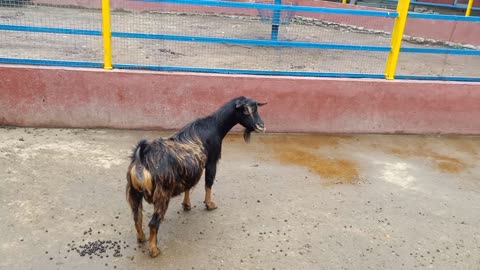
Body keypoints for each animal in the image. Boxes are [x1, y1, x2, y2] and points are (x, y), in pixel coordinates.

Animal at [126, 96, 266, 258]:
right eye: (246, 110)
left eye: (257, 108)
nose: (261, 126)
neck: (214, 126)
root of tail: (142, 157)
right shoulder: (212, 161)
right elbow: (209, 183)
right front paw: (210, 204)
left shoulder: (189, 172)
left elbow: (188, 186)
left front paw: (187, 205)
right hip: (162, 194)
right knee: (153, 223)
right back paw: (154, 250)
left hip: (133, 192)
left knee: (137, 217)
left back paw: (141, 238)